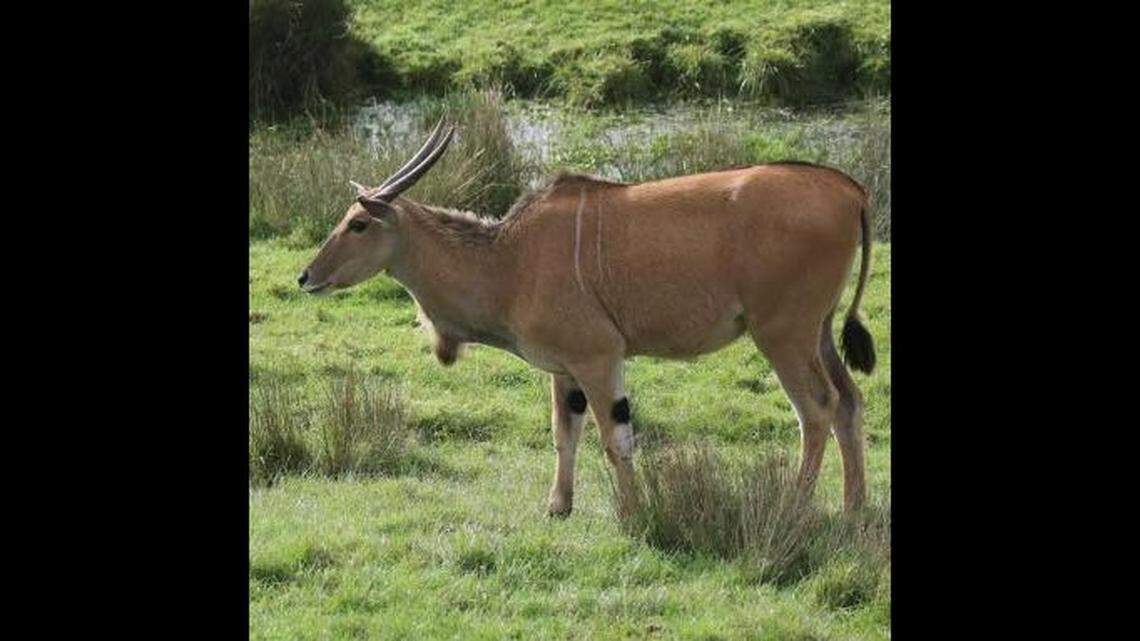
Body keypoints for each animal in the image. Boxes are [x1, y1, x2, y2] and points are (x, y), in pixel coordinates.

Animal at [299, 120, 877, 515]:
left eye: (357, 224)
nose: (306, 277)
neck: (509, 260)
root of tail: (851, 191)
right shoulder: (565, 369)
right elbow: (564, 431)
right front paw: (559, 506)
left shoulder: (599, 357)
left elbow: (614, 437)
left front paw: (635, 512)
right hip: (819, 331)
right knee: (849, 402)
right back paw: (854, 507)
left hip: (782, 332)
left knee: (816, 408)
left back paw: (795, 504)